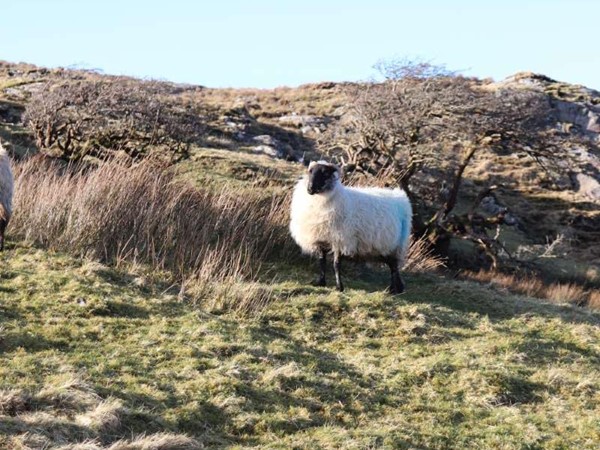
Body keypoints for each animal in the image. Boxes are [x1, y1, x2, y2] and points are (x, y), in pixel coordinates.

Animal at [290, 160, 412, 294]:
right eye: (310, 171)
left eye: (325, 173)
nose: (310, 188)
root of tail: (401, 197)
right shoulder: (321, 238)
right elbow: (322, 261)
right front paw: (320, 282)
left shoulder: (340, 239)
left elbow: (336, 264)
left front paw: (339, 287)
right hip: (383, 247)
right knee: (391, 264)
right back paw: (396, 288)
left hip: (396, 244)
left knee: (394, 266)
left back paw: (395, 289)